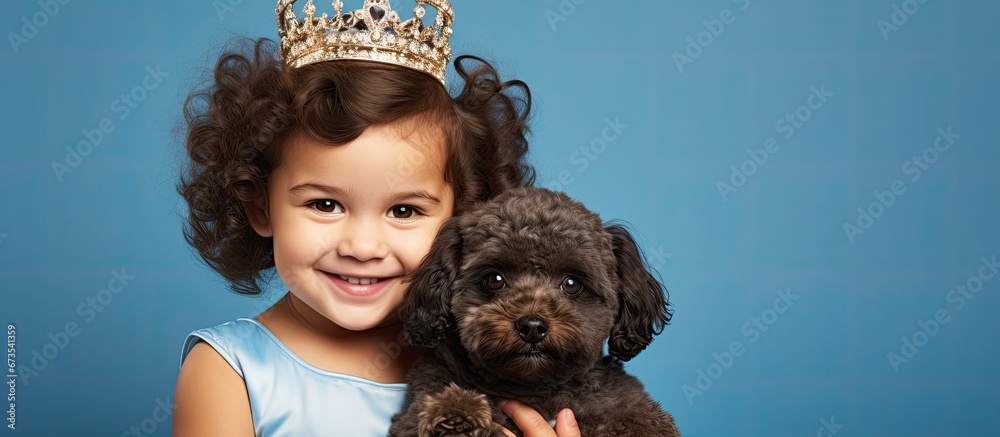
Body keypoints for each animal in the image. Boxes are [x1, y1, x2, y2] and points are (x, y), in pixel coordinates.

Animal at [388, 187, 680, 436]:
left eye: (571, 283)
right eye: (494, 279)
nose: (532, 326)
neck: (537, 392)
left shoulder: (630, 408)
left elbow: (638, 421)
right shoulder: (415, 409)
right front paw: (457, 415)